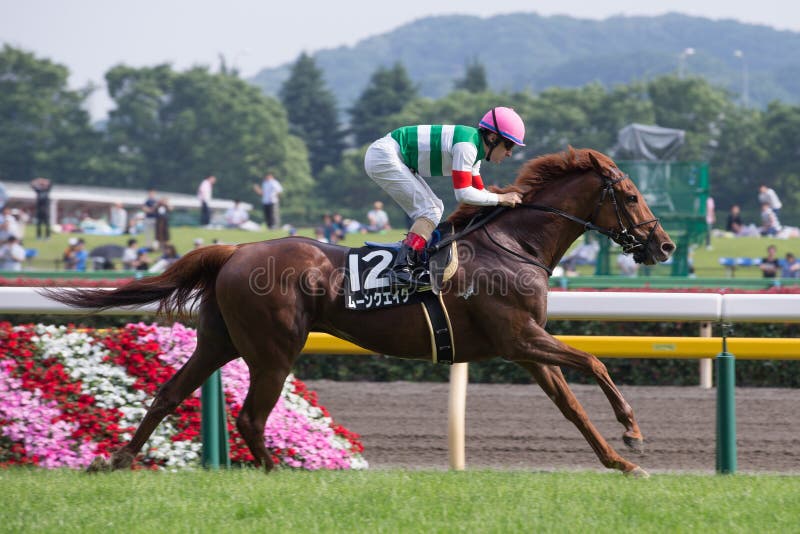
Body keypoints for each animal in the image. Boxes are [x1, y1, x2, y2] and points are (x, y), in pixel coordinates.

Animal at [48, 147, 676, 478]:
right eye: (633, 196)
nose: (665, 245)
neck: (511, 246)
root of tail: (235, 249)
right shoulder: (518, 337)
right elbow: (595, 361)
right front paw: (633, 431)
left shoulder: (524, 347)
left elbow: (571, 404)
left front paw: (621, 463)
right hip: (274, 349)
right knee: (250, 416)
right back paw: (277, 474)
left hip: (219, 340)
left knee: (170, 392)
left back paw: (116, 459)